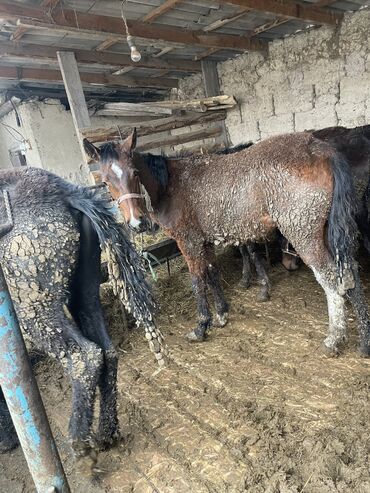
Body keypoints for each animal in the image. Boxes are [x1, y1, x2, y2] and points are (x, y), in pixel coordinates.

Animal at [83, 129, 370, 356]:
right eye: (106, 182)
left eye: (134, 173)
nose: (137, 223)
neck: (171, 184)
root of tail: (320, 149)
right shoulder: (205, 241)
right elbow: (212, 272)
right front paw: (221, 313)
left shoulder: (189, 241)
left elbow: (197, 279)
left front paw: (201, 326)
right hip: (328, 231)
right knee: (349, 275)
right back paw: (364, 342)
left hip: (303, 232)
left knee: (331, 279)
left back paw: (334, 339)